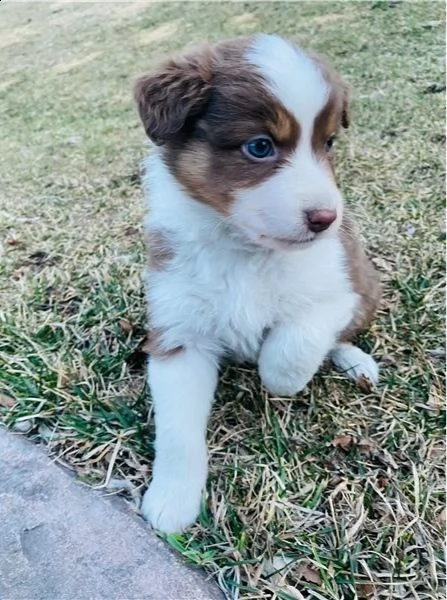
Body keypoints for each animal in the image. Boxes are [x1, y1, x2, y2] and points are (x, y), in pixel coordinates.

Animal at [133, 34, 382, 536]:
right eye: (260, 147)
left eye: (329, 143)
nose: (327, 219)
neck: (244, 250)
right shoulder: (179, 334)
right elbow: (177, 430)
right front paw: (171, 500)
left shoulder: (342, 287)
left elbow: (294, 346)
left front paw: (277, 374)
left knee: (340, 338)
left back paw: (356, 362)